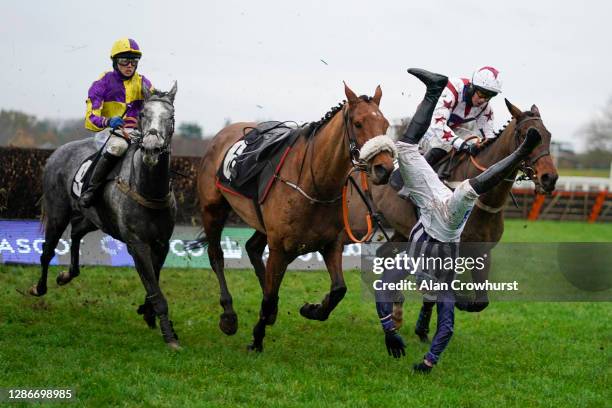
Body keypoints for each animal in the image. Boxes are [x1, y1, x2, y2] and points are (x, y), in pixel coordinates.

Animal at [28, 84, 180, 350]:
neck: (147, 190)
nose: (151, 148)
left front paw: (148, 312)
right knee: (47, 251)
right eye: (143, 114)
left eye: (170, 117)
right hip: (58, 212)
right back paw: (40, 287)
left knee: (76, 232)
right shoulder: (137, 244)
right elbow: (154, 287)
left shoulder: (161, 244)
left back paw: (67, 275)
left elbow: (155, 282)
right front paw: (169, 336)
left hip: (94, 218)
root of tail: (57, 152)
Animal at [197, 83, 396, 350]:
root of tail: (222, 134)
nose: (384, 169)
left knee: (252, 248)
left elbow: (339, 289)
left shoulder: (330, 244)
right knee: (216, 255)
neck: (315, 185)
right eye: (358, 123)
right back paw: (229, 316)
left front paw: (312, 309)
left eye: (385, 124)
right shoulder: (280, 247)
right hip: (213, 209)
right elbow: (269, 297)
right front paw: (256, 340)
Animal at [344, 99, 560, 342]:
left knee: (382, 255)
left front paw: (425, 326)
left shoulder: (481, 252)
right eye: (524, 135)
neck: (483, 201)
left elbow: (480, 302)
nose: (549, 178)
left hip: (401, 232)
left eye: (549, 135)